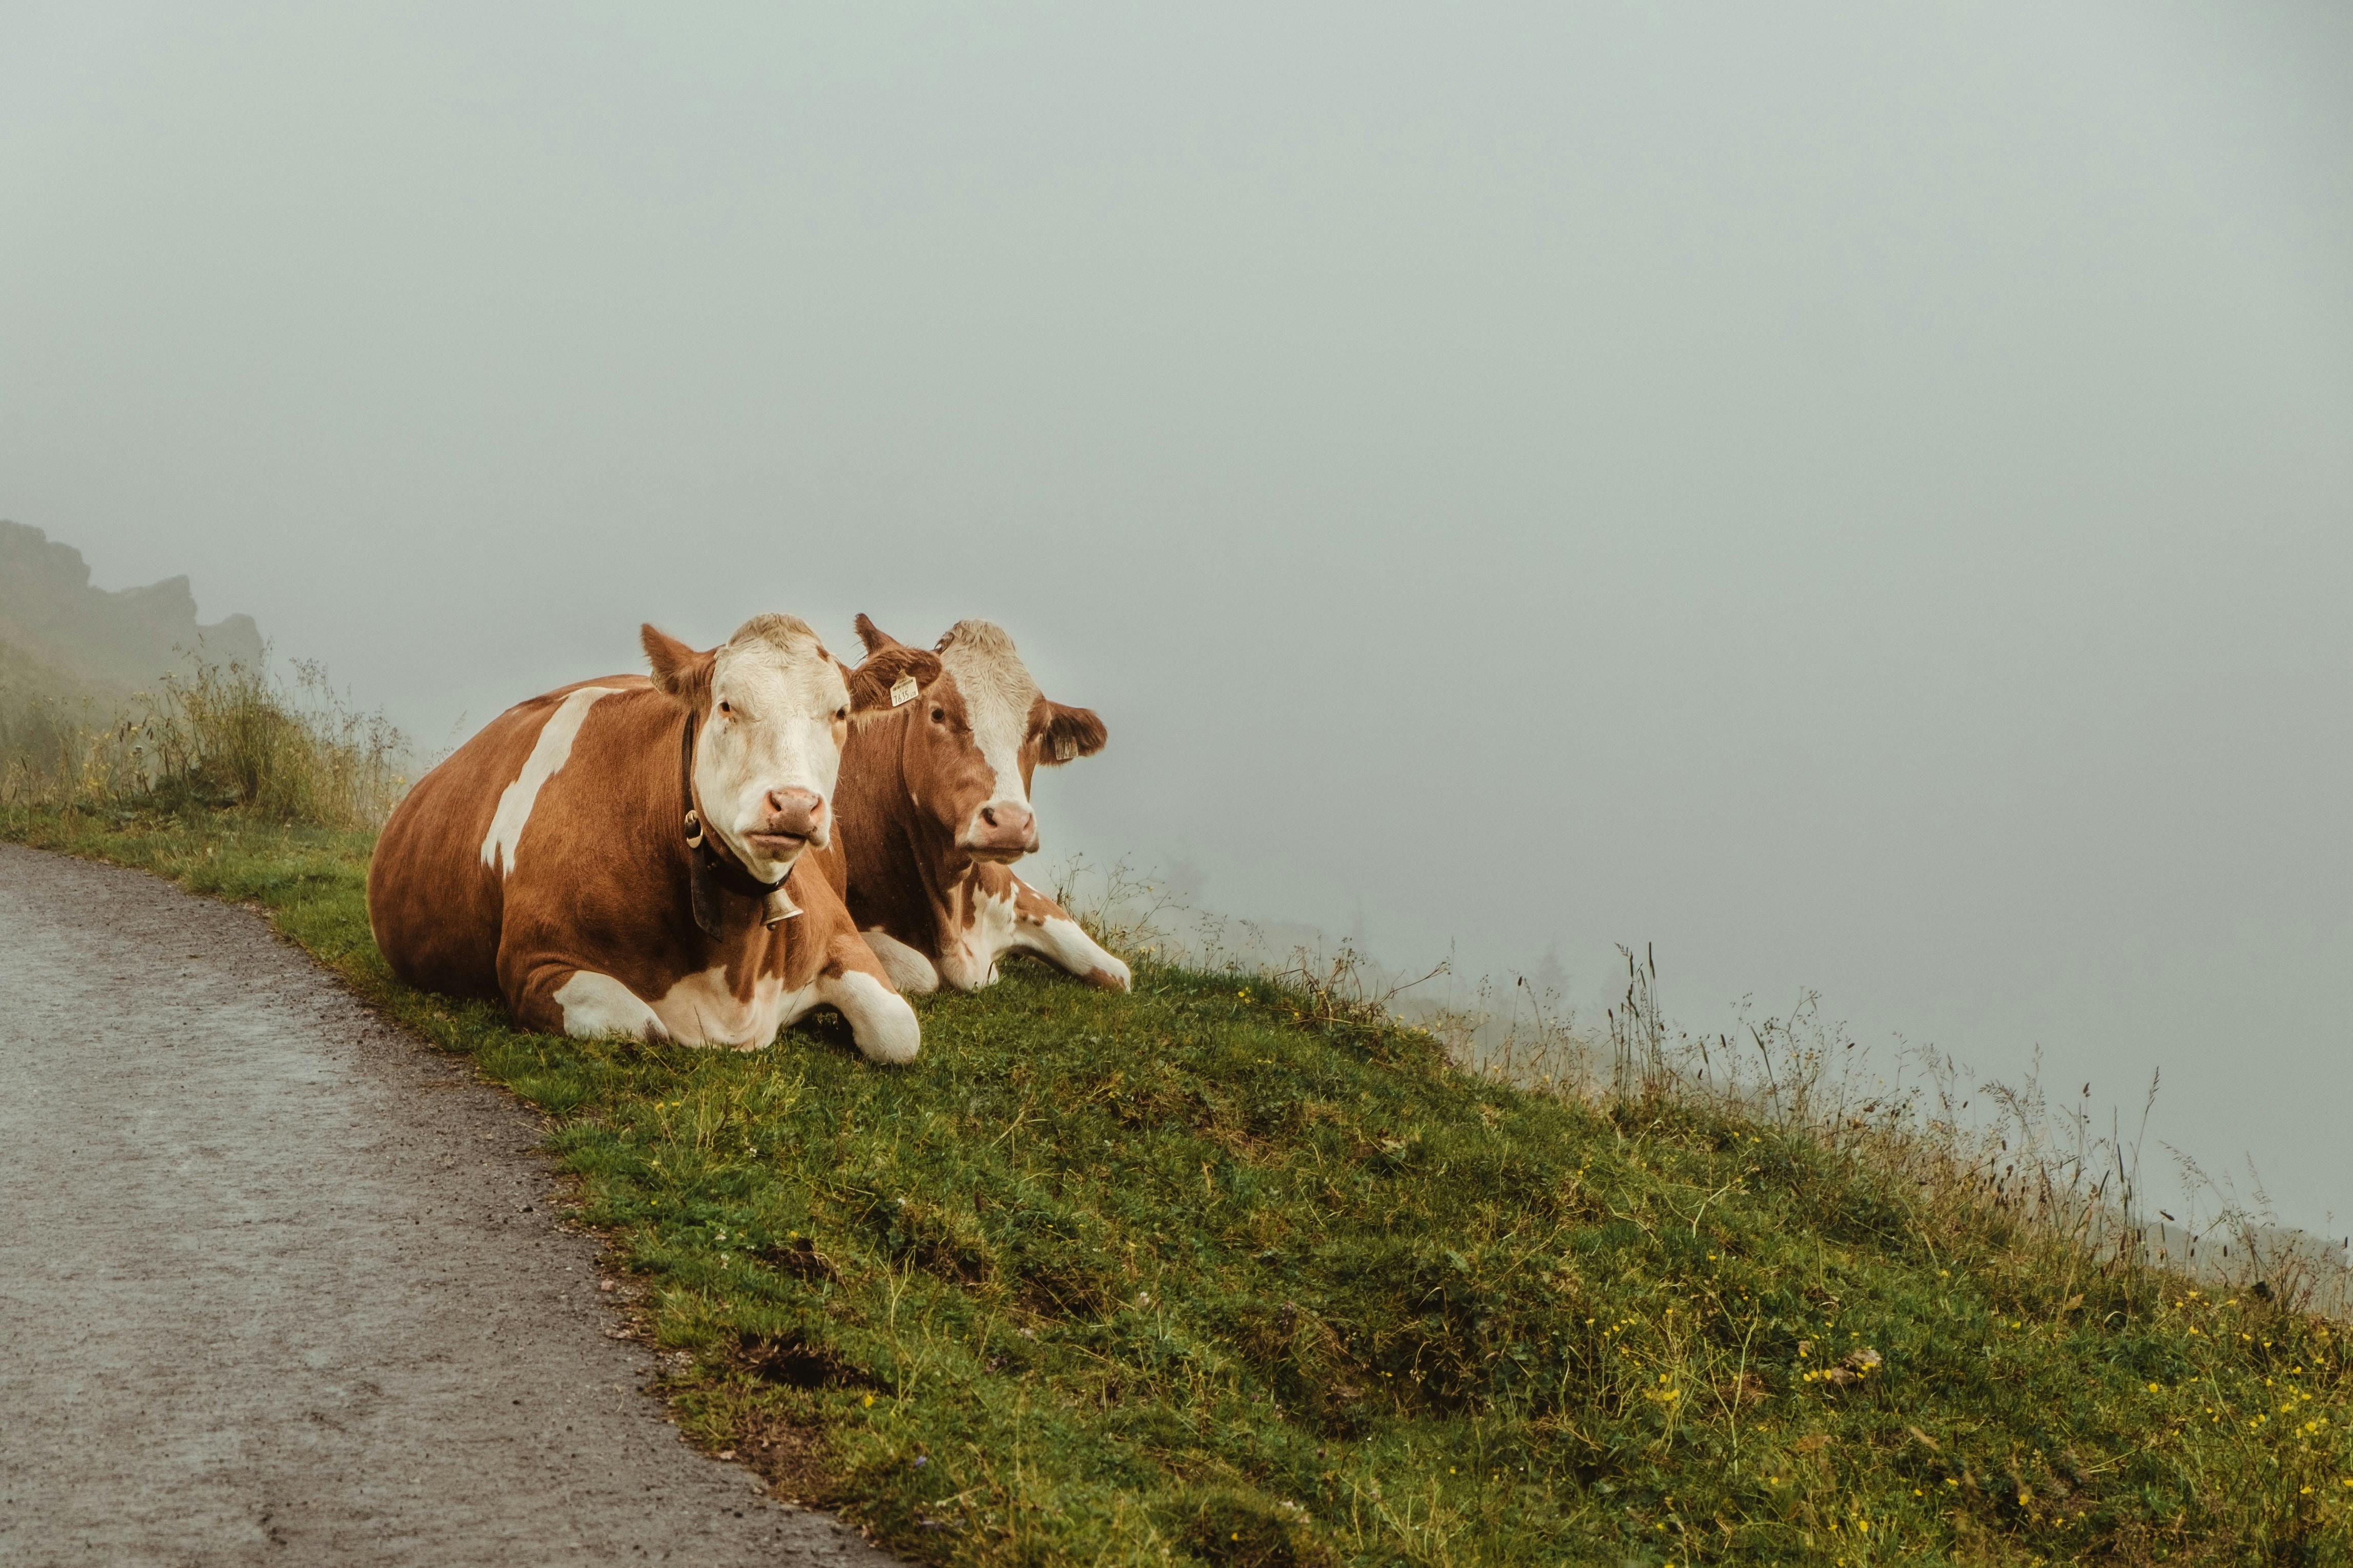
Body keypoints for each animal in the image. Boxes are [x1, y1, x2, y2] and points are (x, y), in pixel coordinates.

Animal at [367, 620, 936, 1062]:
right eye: (726, 706)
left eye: (840, 713)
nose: (795, 804)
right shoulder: (533, 965)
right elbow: (649, 1027)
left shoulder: (836, 933)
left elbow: (900, 1032)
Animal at [819, 616, 1129, 992]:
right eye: (938, 713)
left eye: (1040, 730)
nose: (1010, 822)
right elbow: (920, 972)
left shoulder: (1012, 887)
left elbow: (1119, 973)